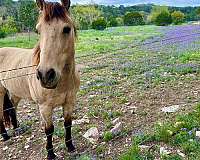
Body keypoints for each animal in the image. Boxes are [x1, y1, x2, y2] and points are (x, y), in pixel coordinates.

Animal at [0, 0, 79, 159]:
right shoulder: (45, 108)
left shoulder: (69, 102)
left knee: (12, 108)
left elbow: (68, 123)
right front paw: (50, 154)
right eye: (38, 31)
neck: (63, 82)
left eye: (66, 29)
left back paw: (17, 129)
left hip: (14, 92)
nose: (45, 75)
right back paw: (5, 136)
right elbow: (49, 130)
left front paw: (70, 146)